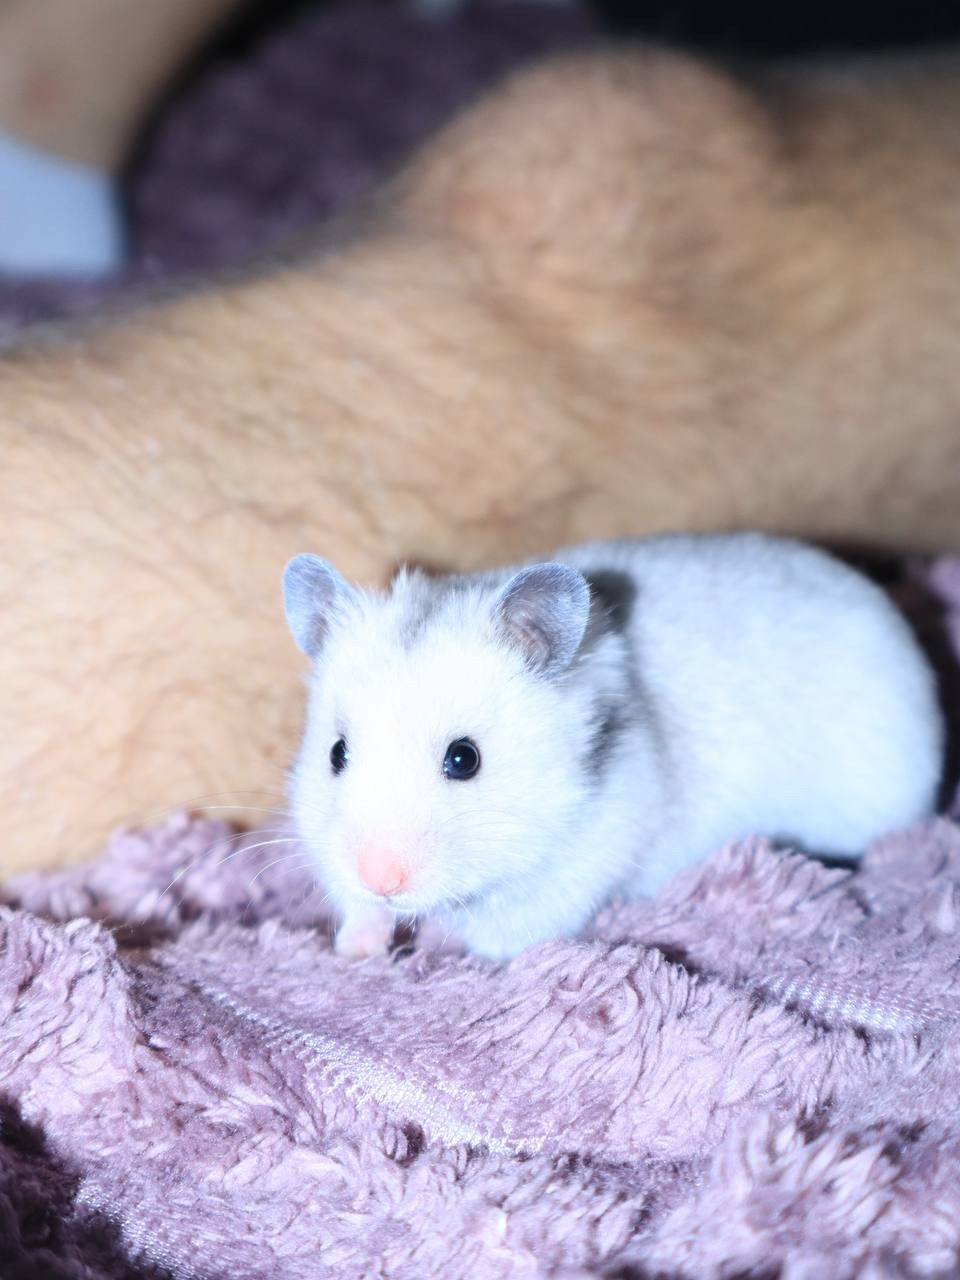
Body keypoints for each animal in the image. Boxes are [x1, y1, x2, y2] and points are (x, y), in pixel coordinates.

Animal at [282, 533, 944, 960]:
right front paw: (357, 951)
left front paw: (440, 951)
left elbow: (506, 934)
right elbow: (354, 906)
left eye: (464, 759)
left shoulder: (582, 859)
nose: (380, 878)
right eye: (337, 754)